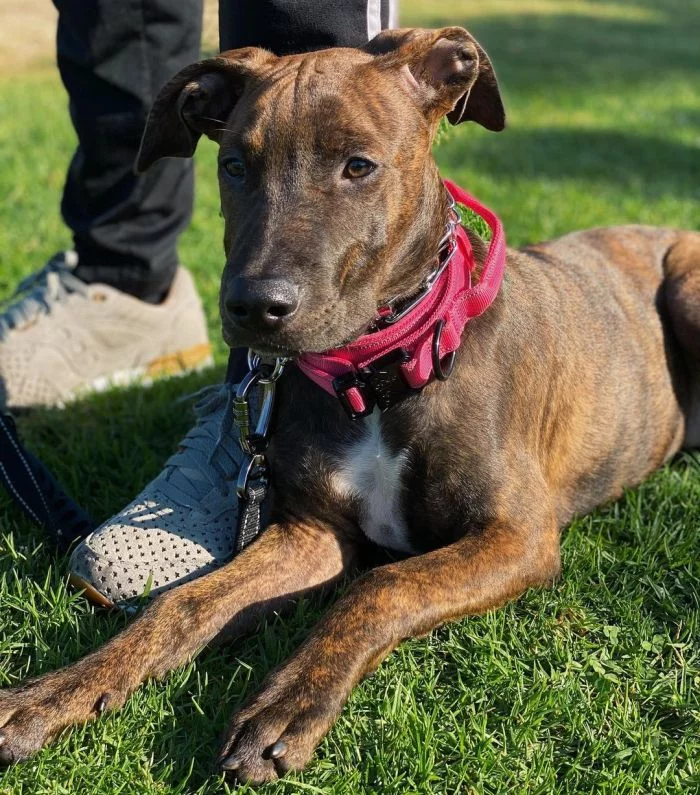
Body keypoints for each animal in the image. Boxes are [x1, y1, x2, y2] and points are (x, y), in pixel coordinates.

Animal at [1, 28, 700, 788]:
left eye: (359, 166)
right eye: (235, 165)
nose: (254, 307)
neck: (382, 371)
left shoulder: (516, 537)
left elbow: (382, 586)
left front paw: (285, 704)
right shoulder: (310, 534)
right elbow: (183, 602)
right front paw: (56, 692)